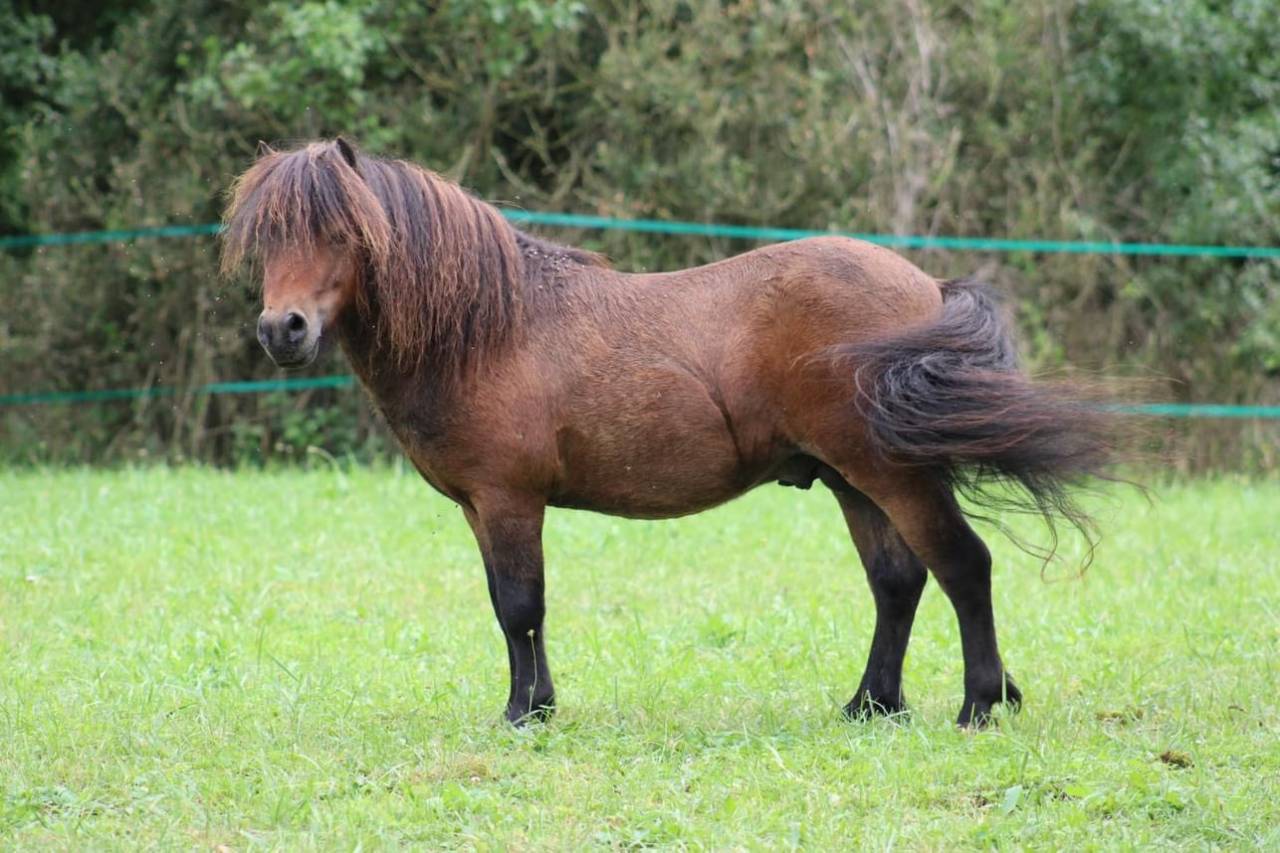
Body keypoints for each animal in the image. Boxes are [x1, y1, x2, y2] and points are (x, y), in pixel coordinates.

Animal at [222, 138, 1112, 728]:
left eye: (342, 231)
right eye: (268, 235)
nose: (282, 330)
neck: (489, 327)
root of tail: (924, 285)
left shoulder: (509, 499)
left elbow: (519, 604)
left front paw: (522, 714)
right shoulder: (481, 506)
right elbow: (516, 609)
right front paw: (537, 704)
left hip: (893, 472)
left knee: (963, 566)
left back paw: (980, 704)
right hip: (853, 480)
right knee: (898, 583)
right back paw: (870, 704)